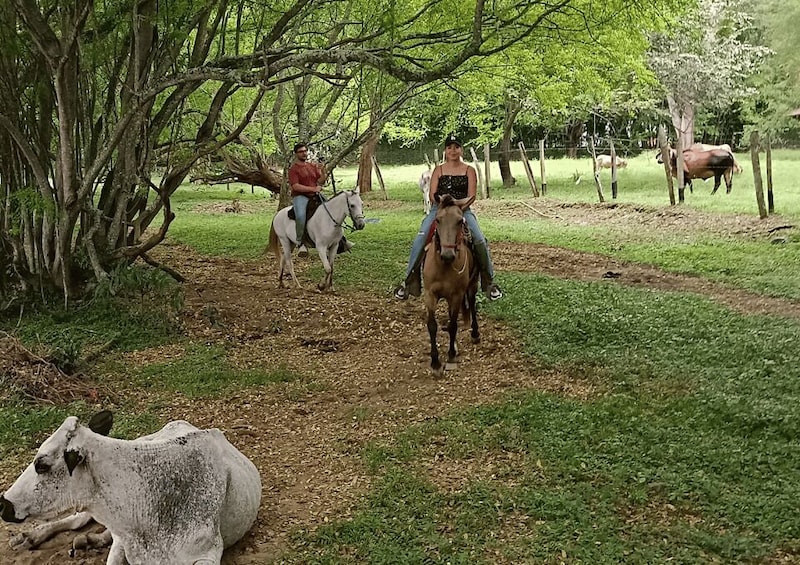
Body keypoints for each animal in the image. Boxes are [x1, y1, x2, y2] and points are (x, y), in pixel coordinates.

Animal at [422, 193, 478, 374]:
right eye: (437, 220)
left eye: (460, 221)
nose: (447, 255)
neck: (444, 266)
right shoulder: (430, 294)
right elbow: (432, 325)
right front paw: (435, 362)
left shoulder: (457, 295)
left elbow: (453, 325)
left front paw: (451, 354)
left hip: (472, 285)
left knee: (472, 304)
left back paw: (475, 334)